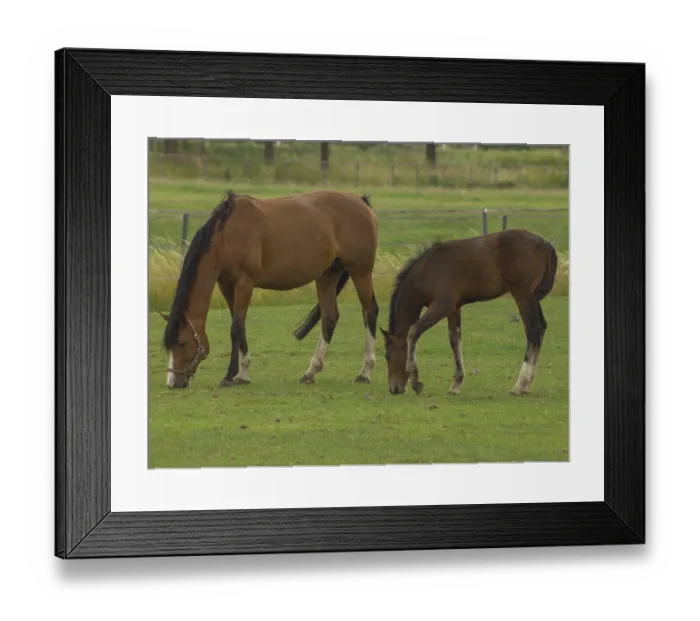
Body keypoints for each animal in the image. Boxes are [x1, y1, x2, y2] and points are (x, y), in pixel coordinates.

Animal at [158, 189, 380, 389]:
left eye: (182, 342)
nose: (173, 383)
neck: (227, 235)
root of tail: (361, 202)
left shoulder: (244, 283)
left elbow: (236, 328)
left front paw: (229, 377)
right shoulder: (226, 285)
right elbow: (240, 326)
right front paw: (243, 375)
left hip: (361, 272)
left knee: (370, 311)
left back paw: (364, 372)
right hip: (327, 276)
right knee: (329, 318)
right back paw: (310, 372)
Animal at [379, 228, 558, 396]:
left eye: (387, 355)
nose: (393, 389)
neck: (430, 269)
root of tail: (546, 244)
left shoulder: (442, 306)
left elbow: (414, 331)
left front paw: (416, 382)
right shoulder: (454, 308)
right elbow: (454, 340)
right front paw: (456, 385)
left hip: (522, 295)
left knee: (533, 329)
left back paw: (519, 385)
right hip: (533, 298)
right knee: (541, 327)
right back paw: (527, 385)